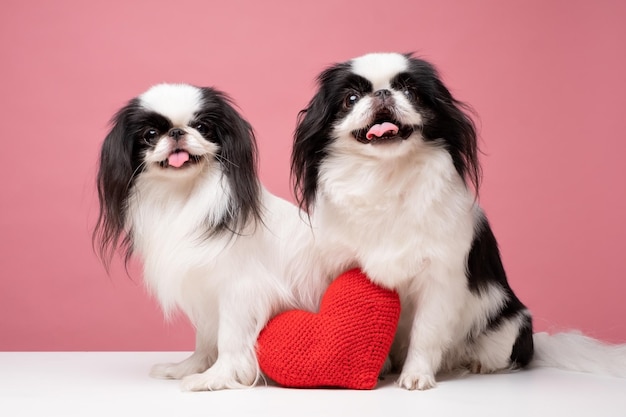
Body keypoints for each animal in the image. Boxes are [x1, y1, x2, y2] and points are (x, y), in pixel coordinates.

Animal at [95, 83, 326, 390]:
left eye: (202, 127)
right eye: (151, 134)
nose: (177, 132)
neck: (182, 195)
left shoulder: (239, 291)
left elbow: (229, 339)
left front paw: (217, 377)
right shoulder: (204, 292)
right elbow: (205, 339)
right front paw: (190, 368)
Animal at [292, 52, 624, 390]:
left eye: (411, 92)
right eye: (351, 99)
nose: (383, 92)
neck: (386, 175)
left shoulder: (438, 279)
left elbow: (425, 333)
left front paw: (416, 375)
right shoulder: (346, 269)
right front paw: (378, 366)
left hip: (511, 323)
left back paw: (479, 365)